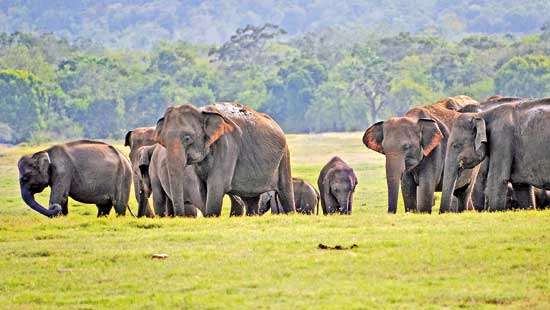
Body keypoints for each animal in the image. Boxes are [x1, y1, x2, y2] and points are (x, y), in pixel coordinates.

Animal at [153, 101, 296, 216]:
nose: (179, 215)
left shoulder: (227, 146)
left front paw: (211, 216)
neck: (202, 112)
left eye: (187, 138)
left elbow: (216, 186)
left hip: (284, 156)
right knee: (251, 200)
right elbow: (202, 189)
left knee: (285, 193)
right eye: (163, 141)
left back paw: (290, 213)